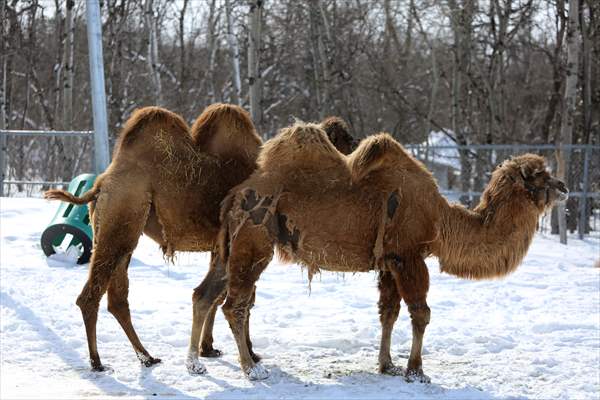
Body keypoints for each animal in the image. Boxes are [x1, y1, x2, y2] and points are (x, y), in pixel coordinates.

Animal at [45, 104, 356, 374]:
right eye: (347, 142)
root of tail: (101, 183)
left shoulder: (221, 248)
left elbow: (217, 296)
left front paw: (209, 348)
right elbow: (241, 300)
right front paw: (249, 353)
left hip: (120, 232)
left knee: (118, 299)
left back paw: (146, 356)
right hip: (119, 221)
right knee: (91, 296)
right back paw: (98, 362)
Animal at [206, 122, 568, 382]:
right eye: (538, 176)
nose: (564, 187)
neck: (441, 219)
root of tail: (234, 195)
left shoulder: (389, 261)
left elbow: (388, 313)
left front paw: (388, 365)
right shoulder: (409, 256)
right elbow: (421, 313)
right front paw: (416, 371)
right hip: (254, 240)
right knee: (235, 305)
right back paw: (252, 368)